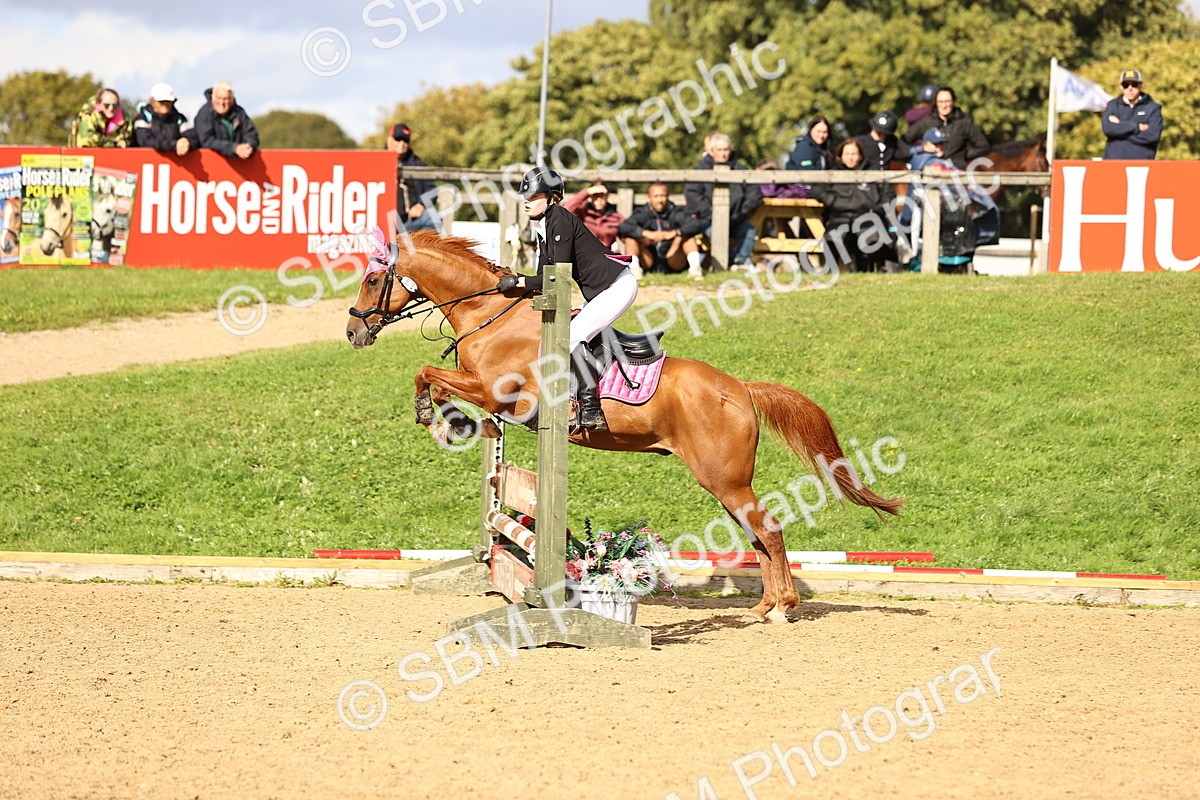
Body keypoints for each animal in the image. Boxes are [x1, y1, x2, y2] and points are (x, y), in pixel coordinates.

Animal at [345, 230, 903, 623]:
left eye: (372, 280)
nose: (352, 331)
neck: (491, 314)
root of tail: (742, 389)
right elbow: (438, 381)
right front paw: (454, 422)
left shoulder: (495, 392)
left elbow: (430, 376)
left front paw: (441, 420)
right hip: (726, 482)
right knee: (758, 533)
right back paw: (764, 606)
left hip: (723, 478)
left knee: (767, 528)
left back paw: (783, 608)